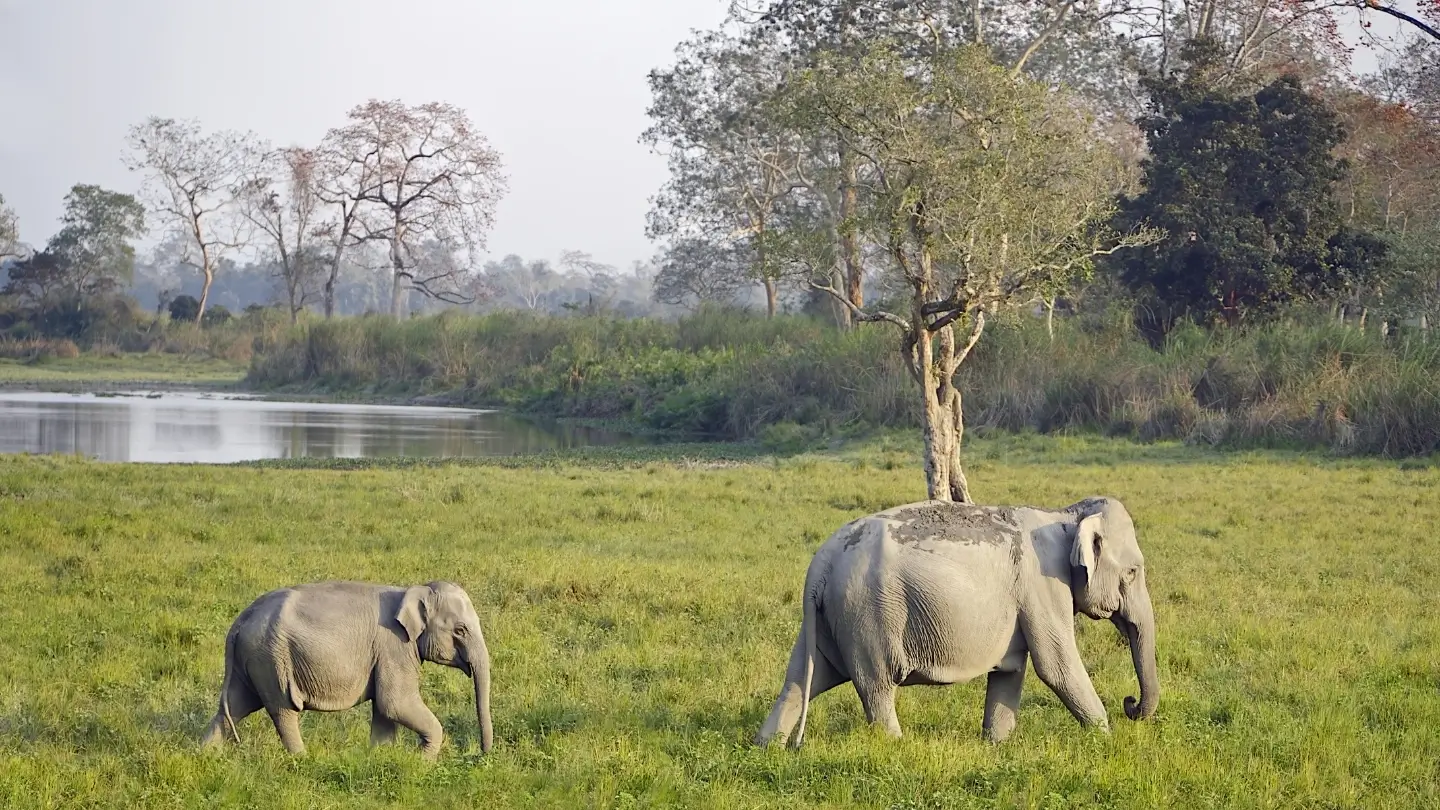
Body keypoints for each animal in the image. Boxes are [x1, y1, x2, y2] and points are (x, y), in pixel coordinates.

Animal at [200, 580, 493, 759]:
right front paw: (423, 763)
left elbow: (384, 710)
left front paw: (380, 756)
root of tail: (240, 621)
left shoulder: (385, 656)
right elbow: (395, 702)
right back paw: (302, 760)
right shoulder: (394, 647)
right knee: (283, 709)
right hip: (271, 659)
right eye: (460, 630)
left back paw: (206, 755)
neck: (413, 590)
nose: (482, 753)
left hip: (252, 661)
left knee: (235, 706)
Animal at [754, 496, 1157, 747]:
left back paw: (767, 747)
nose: (1130, 703)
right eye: (1134, 571)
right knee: (876, 686)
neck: (1065, 515)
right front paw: (1107, 742)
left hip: (829, 618)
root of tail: (820, 564)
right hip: (865, 614)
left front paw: (997, 745)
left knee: (802, 680)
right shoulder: (1043, 587)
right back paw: (896, 747)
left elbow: (1010, 673)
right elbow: (1056, 667)